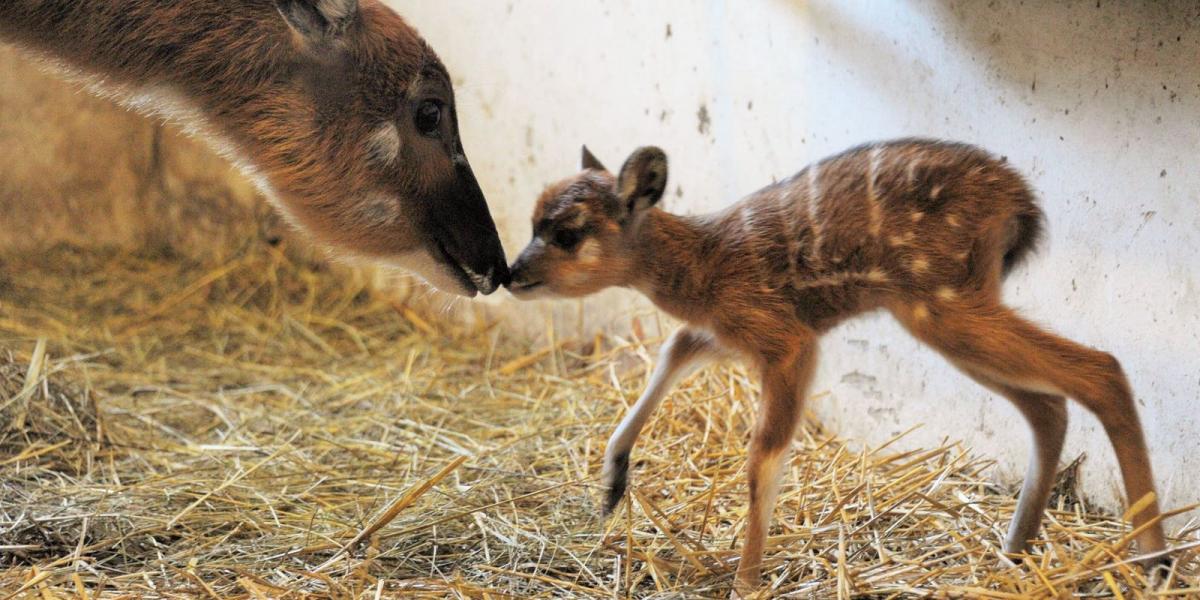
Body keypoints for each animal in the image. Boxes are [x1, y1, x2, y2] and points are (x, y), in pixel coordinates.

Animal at [504, 141, 1161, 595]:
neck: (704, 268)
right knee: (1049, 404)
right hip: (948, 308)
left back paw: (1153, 558)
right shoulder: (733, 331)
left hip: (943, 303)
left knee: (1101, 369)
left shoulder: (787, 340)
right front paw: (612, 482)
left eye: (567, 232)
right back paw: (1016, 549)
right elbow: (674, 350)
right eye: (533, 219)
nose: (511, 273)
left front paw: (746, 583)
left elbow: (762, 455)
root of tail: (1022, 207)